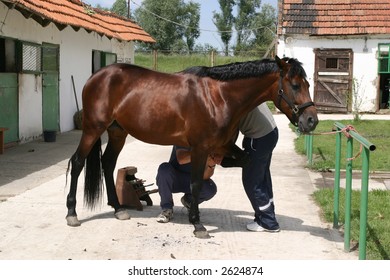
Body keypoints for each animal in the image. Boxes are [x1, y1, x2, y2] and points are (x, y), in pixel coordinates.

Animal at [65, 56, 318, 238]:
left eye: (307, 83)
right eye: (295, 85)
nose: (311, 121)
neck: (219, 97)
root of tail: (96, 76)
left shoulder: (223, 146)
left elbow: (243, 161)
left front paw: (191, 207)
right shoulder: (200, 148)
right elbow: (195, 183)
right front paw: (197, 224)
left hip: (118, 132)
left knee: (108, 163)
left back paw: (118, 209)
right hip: (93, 129)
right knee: (77, 163)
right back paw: (72, 214)